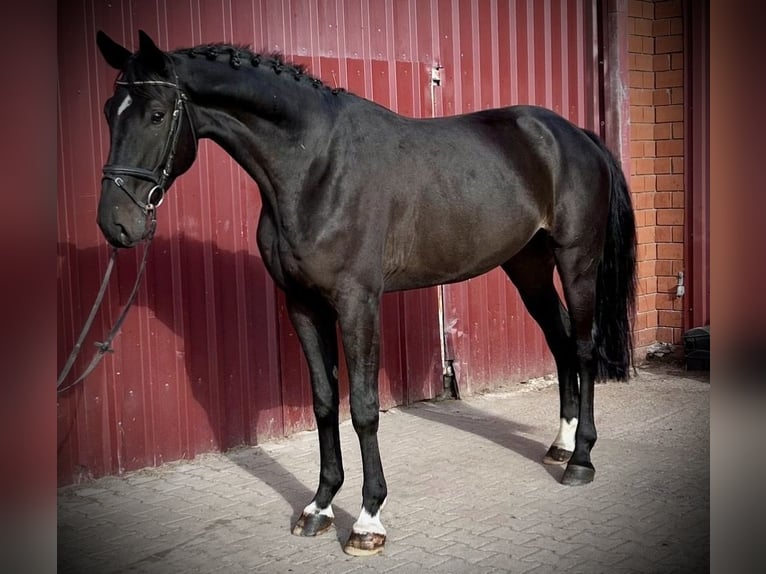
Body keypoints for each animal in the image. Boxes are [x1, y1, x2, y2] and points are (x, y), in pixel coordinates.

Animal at [94, 28, 636, 560]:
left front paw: (368, 520)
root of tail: (576, 136)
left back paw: (580, 460)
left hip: (576, 262)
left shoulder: (357, 303)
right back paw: (561, 443)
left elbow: (364, 409)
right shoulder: (302, 304)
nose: (116, 224)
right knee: (560, 341)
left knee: (583, 349)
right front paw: (319, 507)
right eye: (107, 111)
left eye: (157, 114)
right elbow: (324, 402)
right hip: (527, 266)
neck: (316, 168)